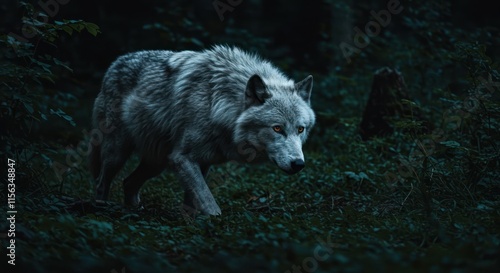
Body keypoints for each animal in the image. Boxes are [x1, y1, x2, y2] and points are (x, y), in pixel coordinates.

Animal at [89, 44, 314, 215]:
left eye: (300, 129)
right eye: (277, 128)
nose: (298, 164)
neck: (216, 103)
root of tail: (114, 63)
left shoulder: (203, 162)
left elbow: (193, 202)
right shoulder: (182, 158)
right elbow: (208, 202)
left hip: (156, 162)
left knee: (128, 183)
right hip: (118, 152)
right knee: (101, 182)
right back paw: (101, 210)